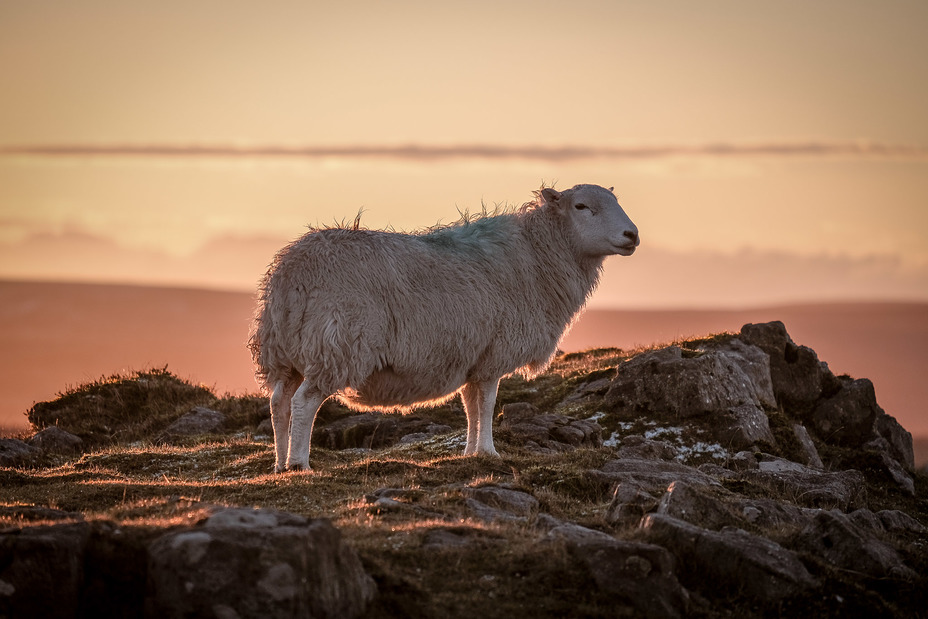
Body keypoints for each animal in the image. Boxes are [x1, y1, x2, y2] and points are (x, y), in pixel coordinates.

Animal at [246, 182, 640, 472]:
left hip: (287, 353)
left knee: (279, 402)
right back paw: (299, 464)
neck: (539, 254)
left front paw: (470, 452)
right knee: (304, 402)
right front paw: (489, 452)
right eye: (581, 206)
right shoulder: (494, 353)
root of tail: (291, 272)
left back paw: (279, 464)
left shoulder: (474, 357)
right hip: (336, 347)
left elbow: (470, 405)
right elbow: (487, 403)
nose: (632, 235)